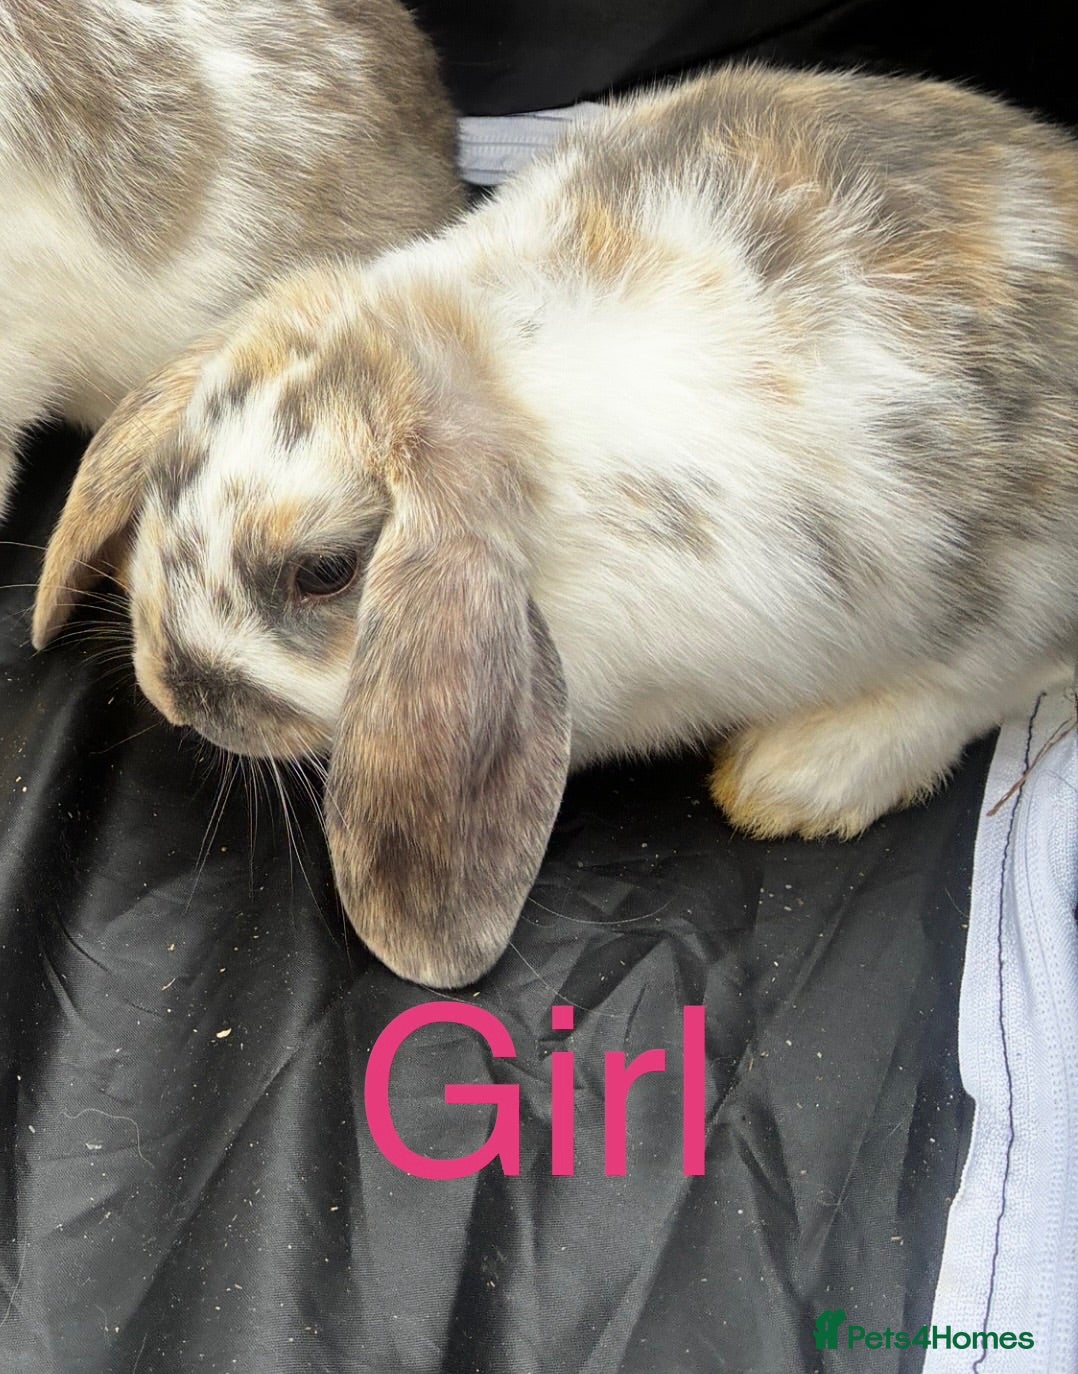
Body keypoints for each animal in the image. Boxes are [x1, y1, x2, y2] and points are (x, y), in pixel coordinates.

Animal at [31, 63, 1078, 988]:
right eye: (167, 479)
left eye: (324, 572)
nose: (174, 694)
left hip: (1002, 597)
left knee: (983, 687)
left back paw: (792, 780)